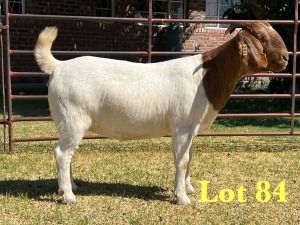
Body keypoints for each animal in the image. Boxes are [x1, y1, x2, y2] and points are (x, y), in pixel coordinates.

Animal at [34, 22, 288, 205]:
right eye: (261, 39)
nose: (286, 56)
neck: (207, 76)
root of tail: (58, 67)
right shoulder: (182, 126)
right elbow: (182, 161)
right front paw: (182, 198)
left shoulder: (192, 128)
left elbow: (189, 158)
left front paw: (188, 189)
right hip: (73, 118)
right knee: (62, 153)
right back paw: (69, 196)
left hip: (65, 121)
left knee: (66, 153)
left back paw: (69, 186)